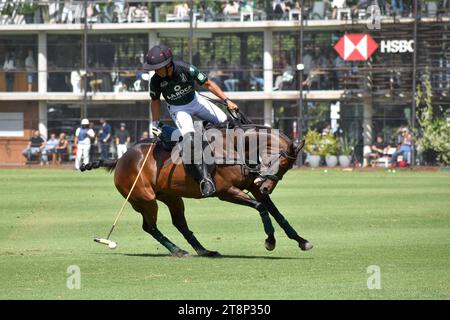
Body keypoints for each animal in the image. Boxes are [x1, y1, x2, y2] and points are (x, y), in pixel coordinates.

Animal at [81, 125, 312, 258]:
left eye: (287, 167)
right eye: (283, 163)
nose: (267, 186)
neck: (234, 147)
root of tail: (120, 159)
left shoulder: (252, 186)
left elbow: (276, 213)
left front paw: (302, 241)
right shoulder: (226, 192)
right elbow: (262, 207)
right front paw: (270, 241)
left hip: (171, 197)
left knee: (179, 223)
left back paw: (203, 250)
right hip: (144, 199)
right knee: (150, 226)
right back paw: (178, 250)